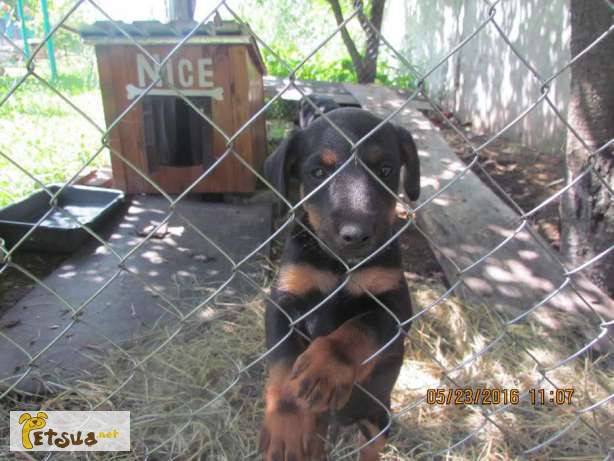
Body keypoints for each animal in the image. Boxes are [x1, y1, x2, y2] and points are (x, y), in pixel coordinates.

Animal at [260, 106, 418, 458]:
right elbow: (283, 363)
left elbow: (360, 327)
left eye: (386, 170)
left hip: (378, 417)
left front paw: (324, 370)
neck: (339, 265)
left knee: (370, 446)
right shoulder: (282, 301)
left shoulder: (397, 308)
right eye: (318, 172)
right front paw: (287, 425)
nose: (356, 236)